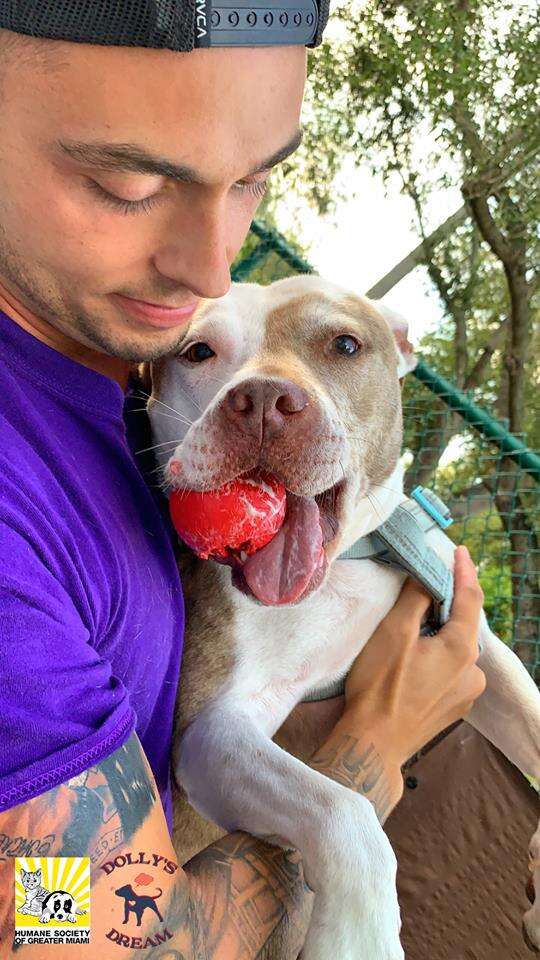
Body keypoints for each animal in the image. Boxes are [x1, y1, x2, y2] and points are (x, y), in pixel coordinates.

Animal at [148, 274, 540, 956]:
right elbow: (341, 811)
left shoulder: (478, 640)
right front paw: (362, 935)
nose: (264, 399)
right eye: (197, 352)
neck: (343, 570)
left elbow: (532, 722)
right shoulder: (210, 732)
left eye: (345, 344)